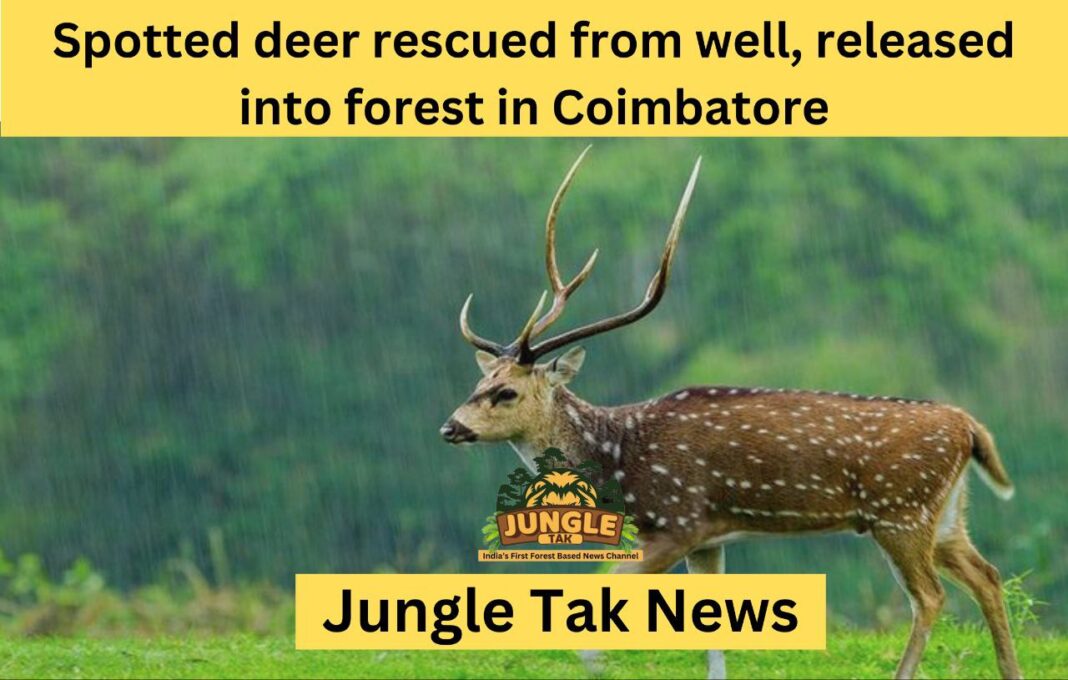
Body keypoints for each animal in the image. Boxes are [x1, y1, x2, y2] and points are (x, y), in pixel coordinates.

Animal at [440, 148, 1022, 680]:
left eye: (506, 392)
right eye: (479, 382)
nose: (450, 427)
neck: (620, 458)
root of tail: (968, 426)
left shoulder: (677, 521)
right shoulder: (708, 540)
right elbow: (712, 635)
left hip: (899, 511)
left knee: (931, 595)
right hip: (944, 515)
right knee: (988, 575)